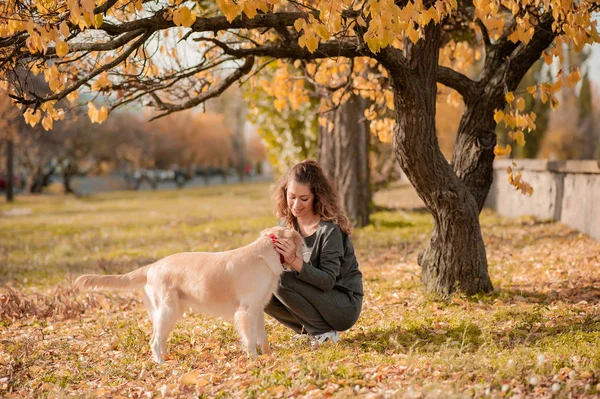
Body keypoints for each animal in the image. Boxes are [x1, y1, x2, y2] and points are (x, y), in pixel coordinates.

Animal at [74, 227, 300, 364]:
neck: (265, 253)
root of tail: (151, 267)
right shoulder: (247, 309)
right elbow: (251, 338)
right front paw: (253, 358)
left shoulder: (258, 308)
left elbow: (262, 336)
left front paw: (268, 355)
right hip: (168, 310)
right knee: (154, 340)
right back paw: (161, 364)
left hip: (171, 312)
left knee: (161, 338)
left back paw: (167, 357)